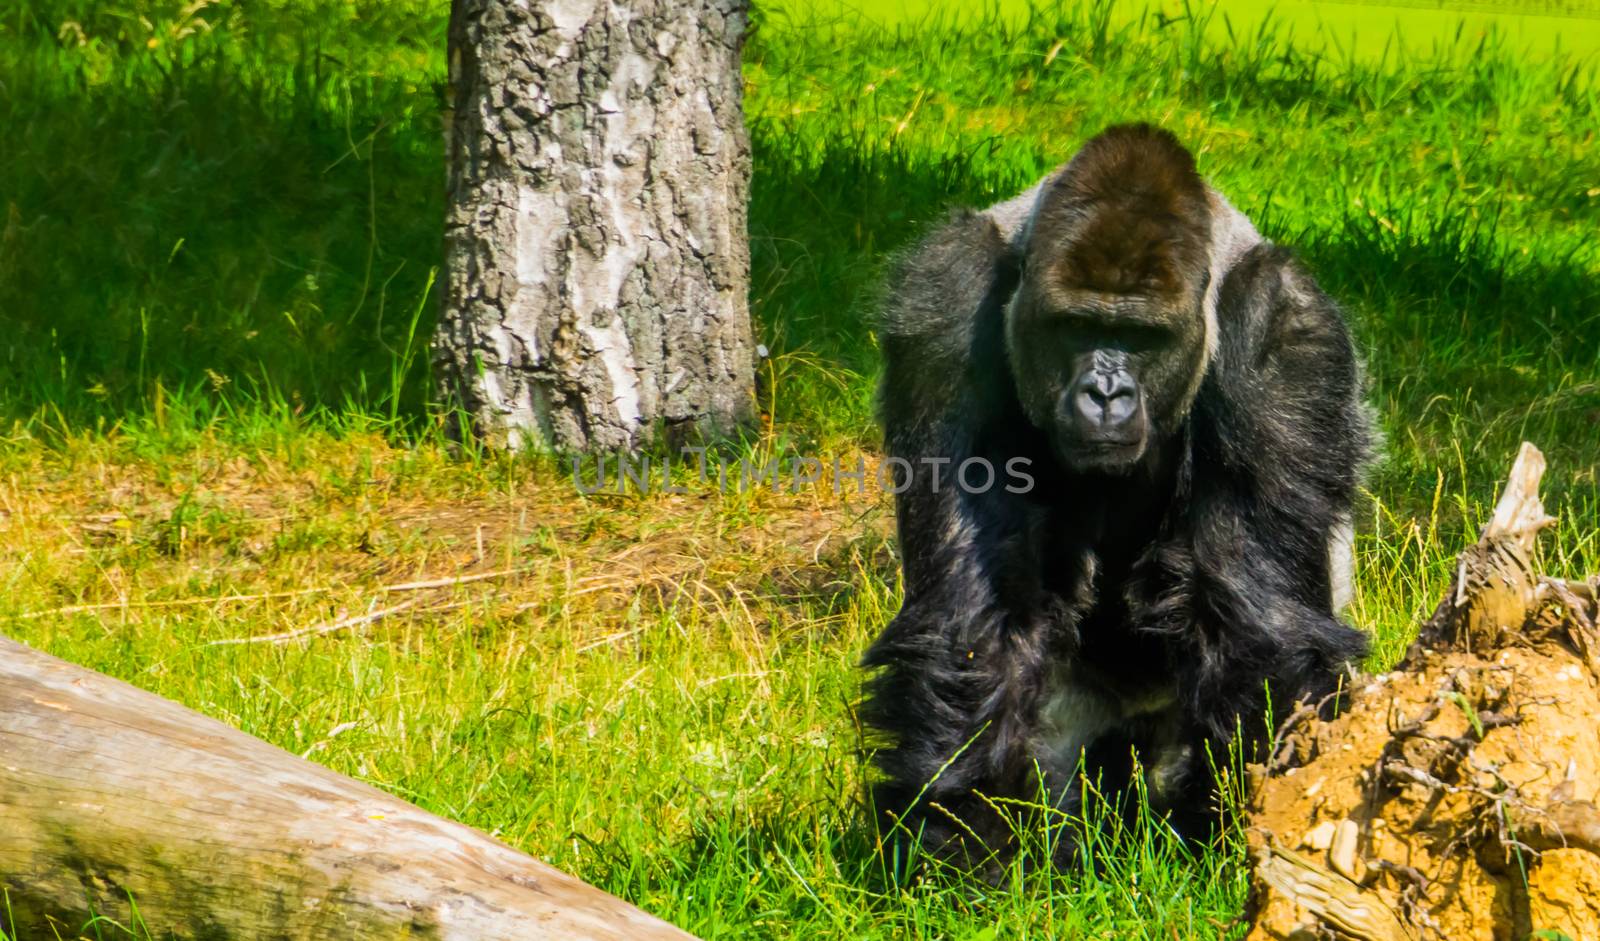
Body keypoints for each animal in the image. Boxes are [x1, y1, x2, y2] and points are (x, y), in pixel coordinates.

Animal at [864, 124, 1376, 876]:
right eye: (1077, 326)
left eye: (1141, 337)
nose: (1105, 394)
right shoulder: (948, 290)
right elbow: (971, 618)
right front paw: (963, 842)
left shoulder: (1284, 323)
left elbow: (1264, 621)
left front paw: (1240, 838)